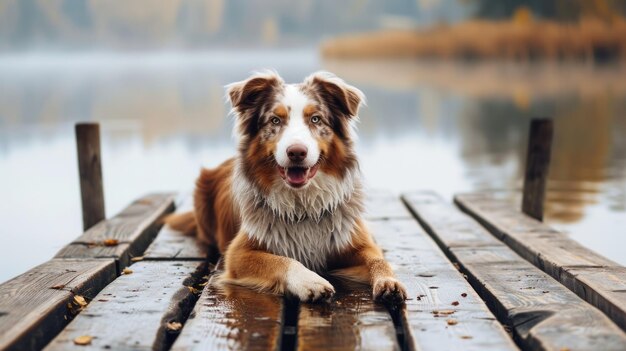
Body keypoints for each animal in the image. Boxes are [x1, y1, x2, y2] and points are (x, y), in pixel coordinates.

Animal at [166, 70, 408, 304]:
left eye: (316, 119)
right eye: (275, 120)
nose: (296, 152)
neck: (303, 204)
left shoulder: (356, 241)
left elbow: (378, 259)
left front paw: (389, 281)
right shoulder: (238, 253)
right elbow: (283, 260)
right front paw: (311, 282)